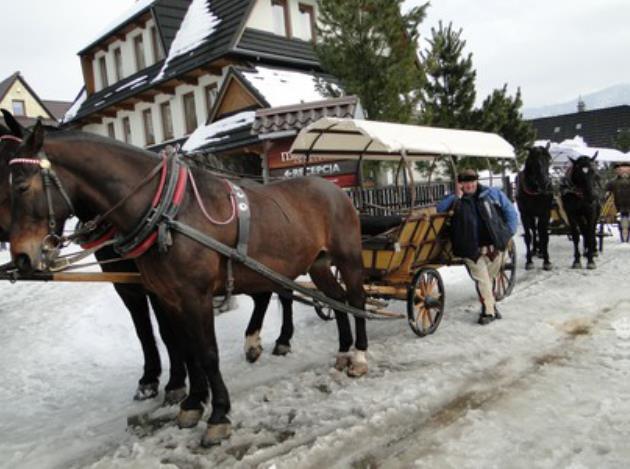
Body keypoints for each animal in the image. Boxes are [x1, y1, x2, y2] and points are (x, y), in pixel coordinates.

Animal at [7, 123, 368, 446]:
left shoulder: (195, 295)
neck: (169, 212)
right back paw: (342, 350)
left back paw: (360, 356)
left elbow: (206, 353)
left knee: (356, 299)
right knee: (336, 300)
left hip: (347, 258)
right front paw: (193, 404)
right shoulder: (169, 297)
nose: (22, 257)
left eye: (21, 186)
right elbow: (187, 348)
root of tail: (334, 189)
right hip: (317, 263)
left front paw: (218, 415)